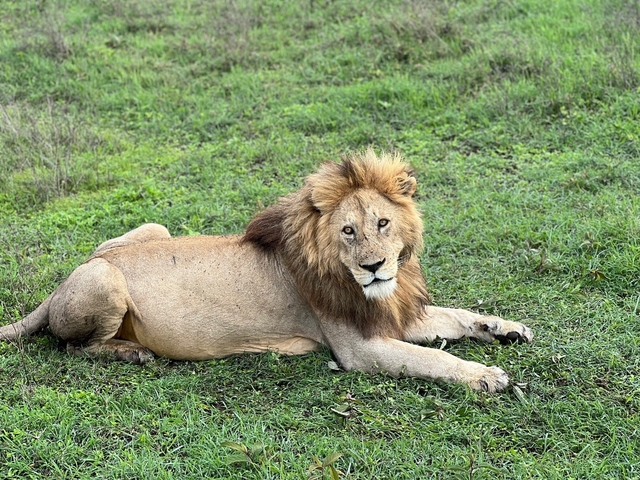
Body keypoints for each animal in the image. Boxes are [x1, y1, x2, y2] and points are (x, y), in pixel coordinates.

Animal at [0, 149, 532, 392]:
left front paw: (505, 328)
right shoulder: (358, 347)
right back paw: (132, 353)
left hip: (151, 230)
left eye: (382, 223)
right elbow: (432, 358)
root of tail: (60, 285)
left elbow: (457, 316)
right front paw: (488, 376)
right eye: (348, 231)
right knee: (75, 348)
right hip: (104, 281)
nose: (375, 267)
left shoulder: (391, 313)